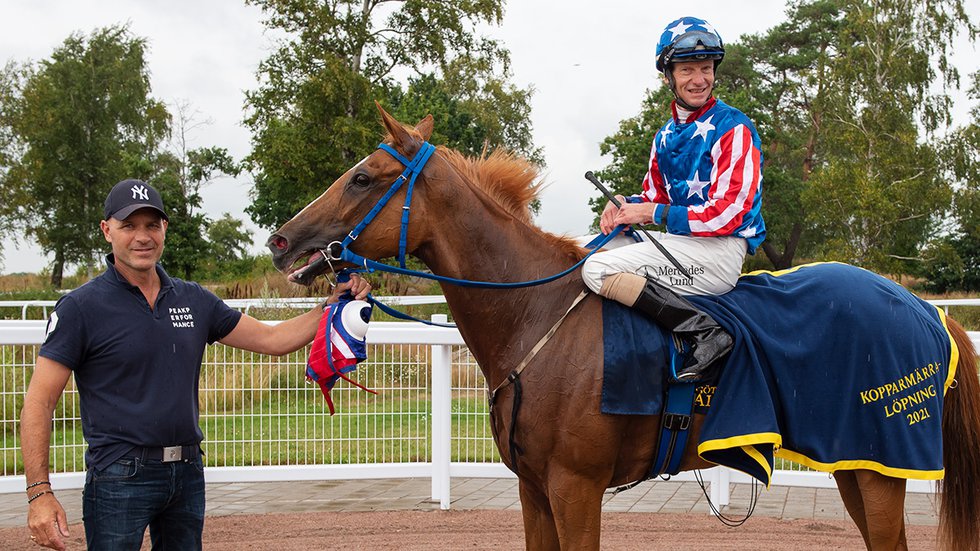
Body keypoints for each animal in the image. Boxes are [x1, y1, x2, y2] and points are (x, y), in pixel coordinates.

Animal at [268, 109, 980, 551]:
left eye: (362, 177)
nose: (280, 240)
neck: (535, 314)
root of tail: (928, 310)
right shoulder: (534, 489)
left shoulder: (576, 488)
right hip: (855, 465)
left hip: (880, 466)